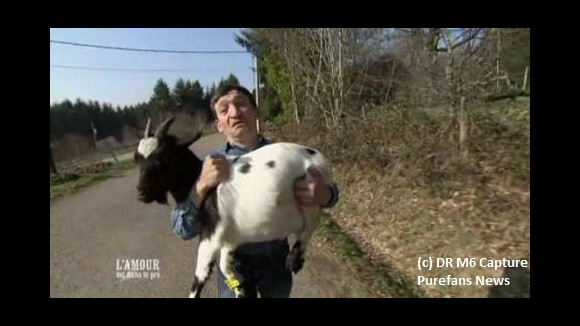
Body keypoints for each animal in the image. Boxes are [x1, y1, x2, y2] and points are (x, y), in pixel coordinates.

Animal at [134, 117, 334, 298]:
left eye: (161, 160)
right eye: (138, 160)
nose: (141, 194)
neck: (198, 182)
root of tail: (319, 157)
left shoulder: (210, 236)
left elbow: (199, 276)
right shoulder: (229, 241)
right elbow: (225, 267)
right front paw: (240, 290)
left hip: (308, 192)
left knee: (311, 222)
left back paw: (294, 258)